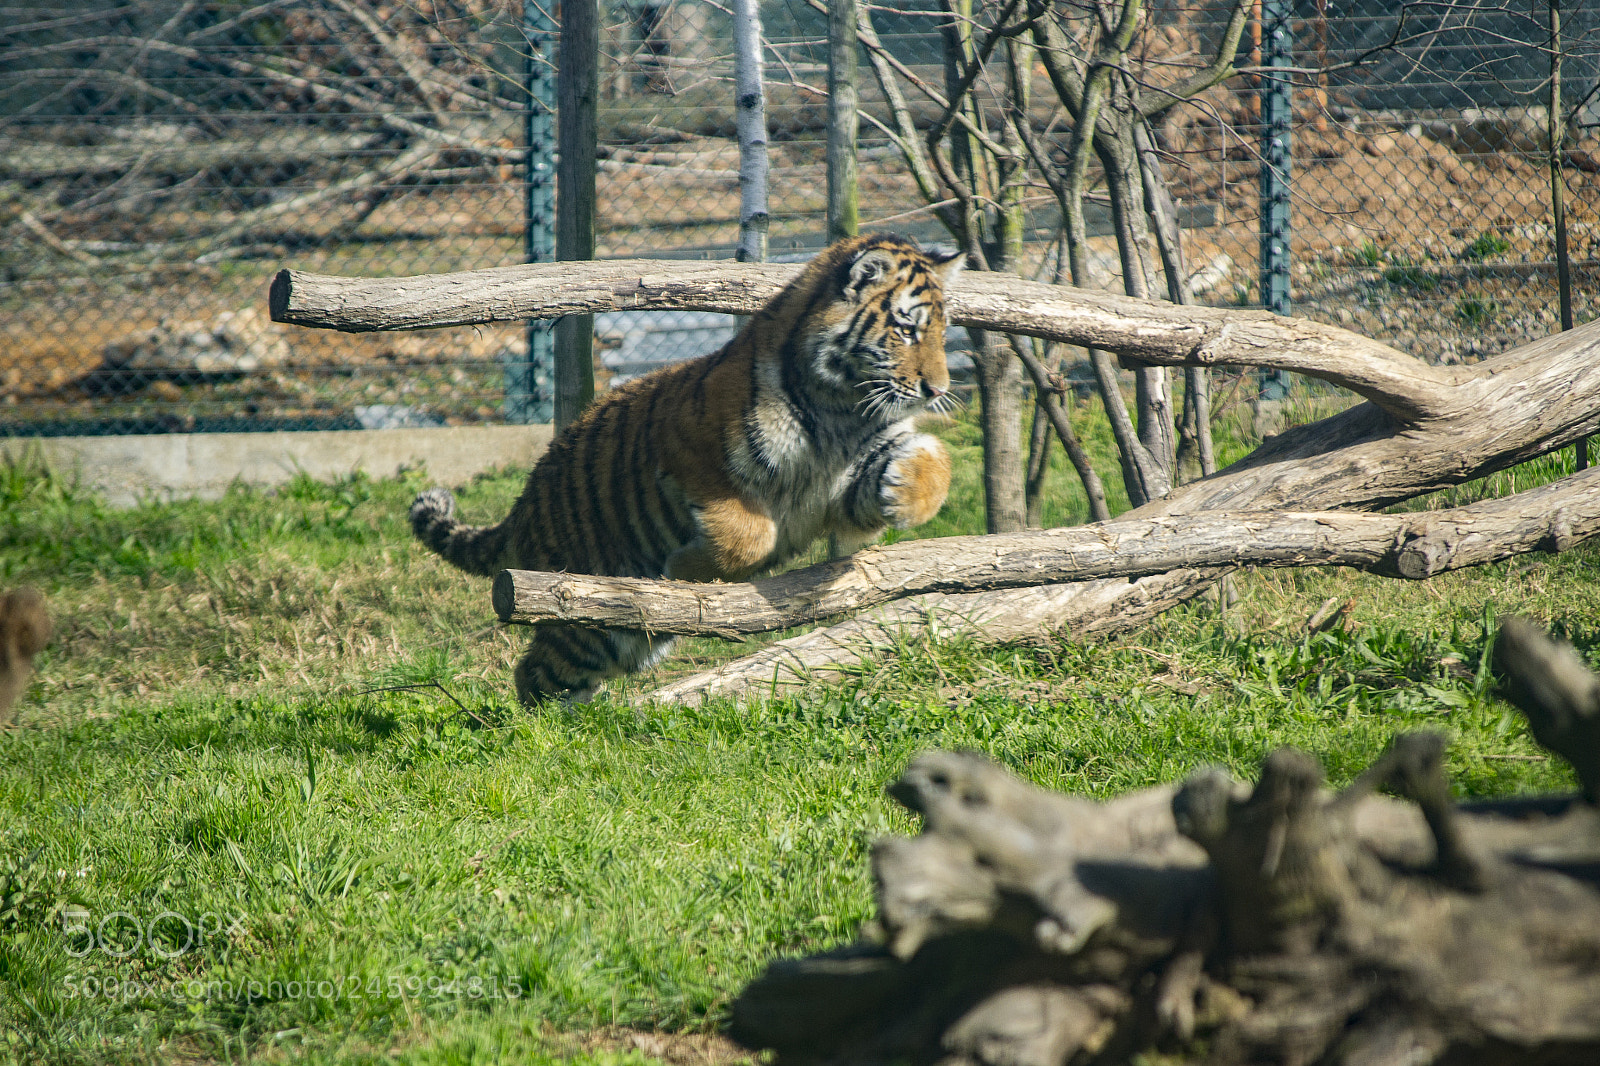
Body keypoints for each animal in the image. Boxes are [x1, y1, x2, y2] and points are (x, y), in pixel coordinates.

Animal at [409, 233, 964, 704]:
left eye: (942, 332)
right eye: (906, 329)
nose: (938, 389)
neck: (843, 409)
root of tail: (525, 502)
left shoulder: (857, 464)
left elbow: (937, 461)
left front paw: (902, 495)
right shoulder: (690, 449)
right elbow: (749, 533)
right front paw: (687, 573)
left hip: (621, 630)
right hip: (590, 614)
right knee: (534, 676)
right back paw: (549, 740)